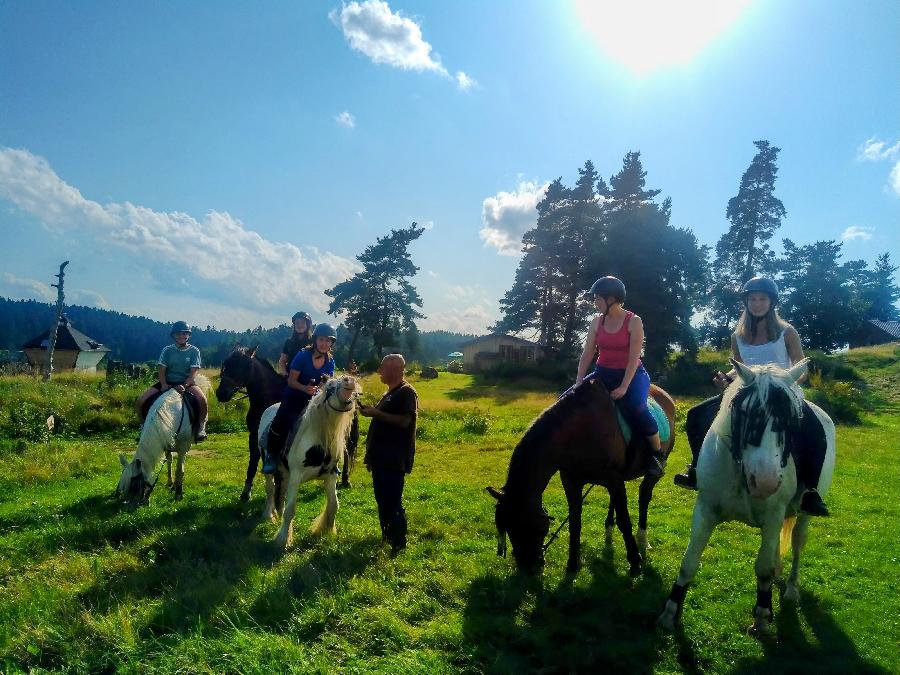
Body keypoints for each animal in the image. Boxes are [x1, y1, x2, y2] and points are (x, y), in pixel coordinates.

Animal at [116, 374, 213, 508]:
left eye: (135, 488)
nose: (128, 508)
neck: (170, 414)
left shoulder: (183, 448)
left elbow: (179, 470)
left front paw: (179, 494)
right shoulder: (165, 441)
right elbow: (169, 462)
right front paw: (171, 484)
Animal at [255, 374, 360, 548]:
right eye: (330, 387)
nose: (349, 380)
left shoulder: (331, 476)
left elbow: (334, 505)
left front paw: (326, 531)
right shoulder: (296, 476)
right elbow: (290, 509)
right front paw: (283, 539)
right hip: (268, 465)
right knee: (270, 488)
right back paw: (268, 515)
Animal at [486, 378, 676, 580]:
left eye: (522, 524)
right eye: (507, 528)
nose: (528, 568)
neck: (579, 432)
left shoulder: (613, 478)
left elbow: (625, 521)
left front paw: (635, 563)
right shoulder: (572, 480)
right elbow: (575, 523)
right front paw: (572, 564)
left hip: (653, 469)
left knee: (644, 495)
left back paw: (642, 539)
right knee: (615, 501)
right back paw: (609, 530)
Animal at [652, 362, 836, 636]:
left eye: (793, 420)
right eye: (745, 412)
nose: (766, 482)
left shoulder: (773, 516)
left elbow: (763, 569)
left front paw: (762, 616)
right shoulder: (705, 509)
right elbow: (688, 563)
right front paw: (669, 614)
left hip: (803, 514)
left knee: (797, 544)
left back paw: (792, 589)